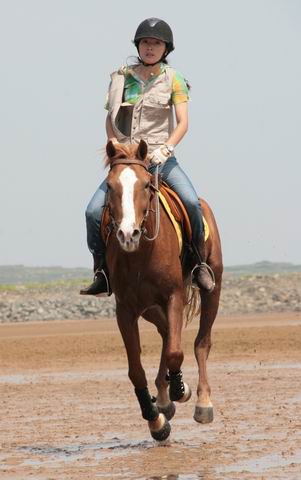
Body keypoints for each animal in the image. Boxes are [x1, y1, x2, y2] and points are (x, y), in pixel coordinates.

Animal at [104, 139, 221, 438]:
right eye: (109, 186)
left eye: (146, 184)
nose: (127, 234)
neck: (140, 254)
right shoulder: (126, 309)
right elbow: (136, 370)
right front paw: (155, 419)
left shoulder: (174, 296)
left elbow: (176, 352)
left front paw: (180, 388)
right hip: (150, 307)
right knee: (168, 332)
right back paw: (165, 399)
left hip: (213, 287)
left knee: (201, 342)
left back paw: (202, 402)